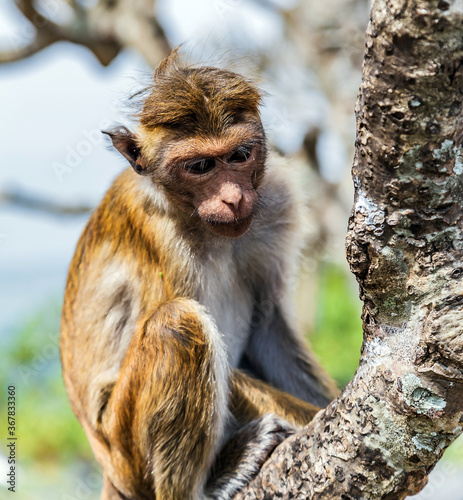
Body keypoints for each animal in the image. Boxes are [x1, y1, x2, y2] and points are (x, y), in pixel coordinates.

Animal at [60, 51, 338, 500]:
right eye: (201, 166)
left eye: (239, 156)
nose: (233, 198)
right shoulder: (161, 239)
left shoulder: (277, 199)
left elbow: (268, 330)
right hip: (126, 449)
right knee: (177, 324)